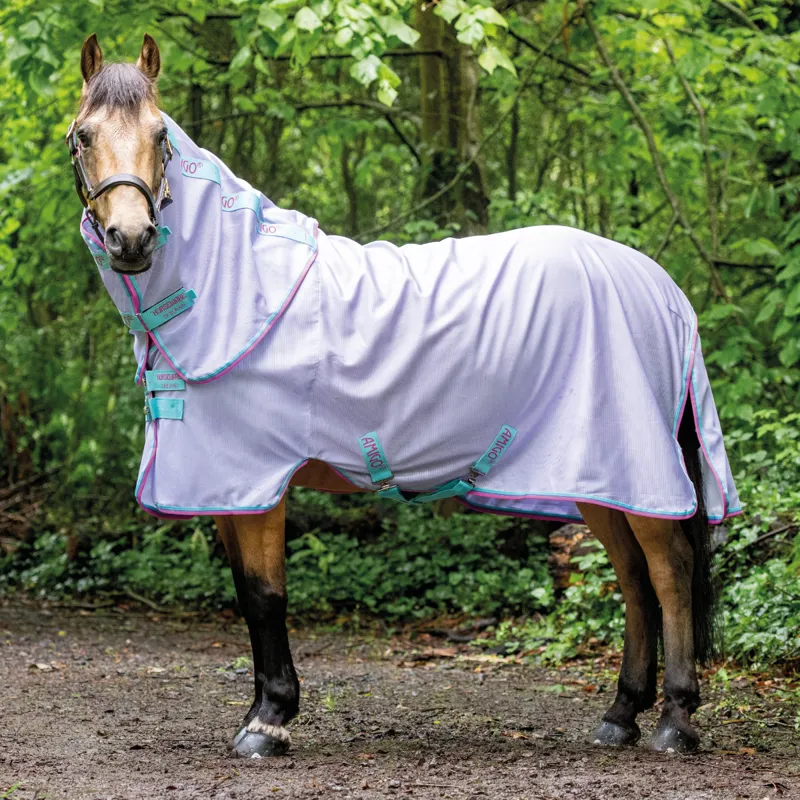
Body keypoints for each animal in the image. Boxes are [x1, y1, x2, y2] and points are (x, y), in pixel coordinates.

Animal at [67, 33, 741, 759]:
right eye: (84, 135)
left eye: (161, 136)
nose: (131, 239)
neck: (241, 284)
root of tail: (661, 287)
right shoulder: (225, 486)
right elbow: (247, 595)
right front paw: (262, 710)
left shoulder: (259, 481)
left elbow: (267, 595)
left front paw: (269, 720)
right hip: (599, 476)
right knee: (634, 580)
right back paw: (620, 714)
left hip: (638, 469)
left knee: (669, 570)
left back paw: (675, 720)